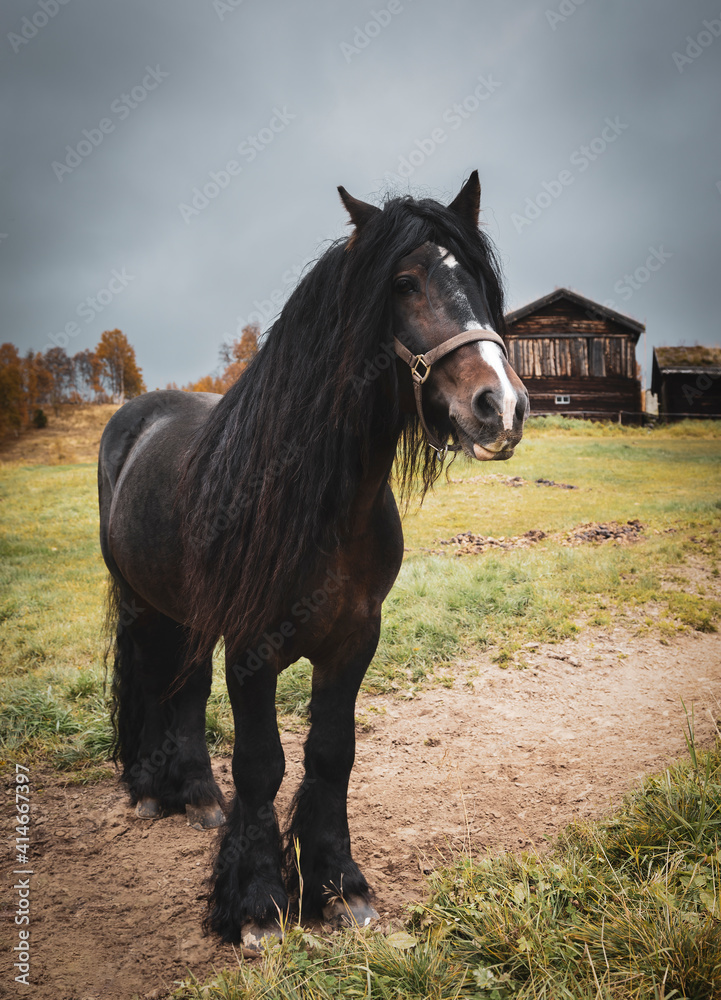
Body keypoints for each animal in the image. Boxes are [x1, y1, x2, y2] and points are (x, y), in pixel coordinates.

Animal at [98, 171, 528, 951]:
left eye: (480, 283)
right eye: (402, 282)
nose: (500, 406)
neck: (318, 500)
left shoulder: (354, 639)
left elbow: (331, 755)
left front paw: (336, 888)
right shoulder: (251, 647)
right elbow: (261, 763)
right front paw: (256, 904)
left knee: (184, 691)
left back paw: (199, 797)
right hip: (143, 603)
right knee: (151, 677)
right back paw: (149, 791)